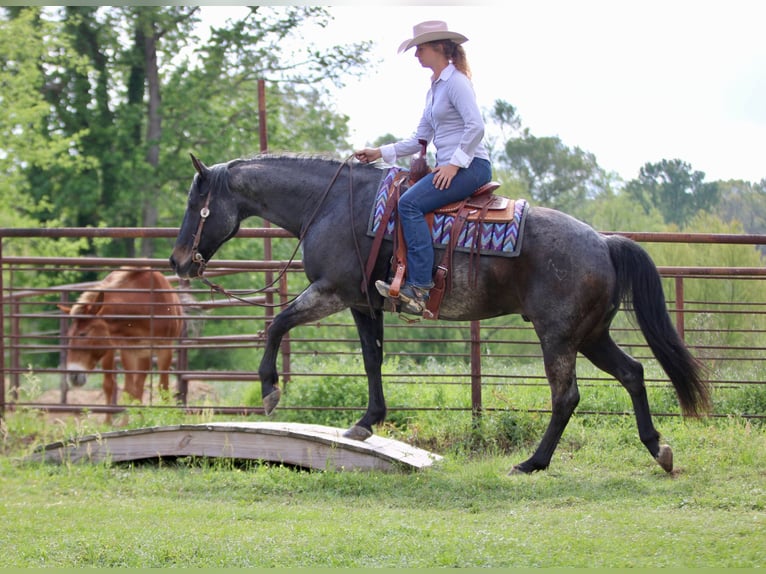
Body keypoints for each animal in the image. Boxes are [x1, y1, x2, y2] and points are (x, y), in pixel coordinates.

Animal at [59, 268, 184, 416]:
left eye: (83, 334)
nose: (73, 376)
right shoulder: (128, 350)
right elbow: (128, 391)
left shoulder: (164, 348)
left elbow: (162, 388)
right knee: (112, 385)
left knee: (138, 386)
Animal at [169, 153, 710, 474]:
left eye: (196, 202)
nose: (177, 261)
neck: (331, 205)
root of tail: (603, 240)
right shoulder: (364, 302)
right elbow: (372, 360)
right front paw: (367, 422)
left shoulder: (333, 291)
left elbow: (278, 322)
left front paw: (270, 391)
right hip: (591, 334)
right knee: (633, 372)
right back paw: (658, 449)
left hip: (559, 335)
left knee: (566, 396)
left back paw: (532, 463)